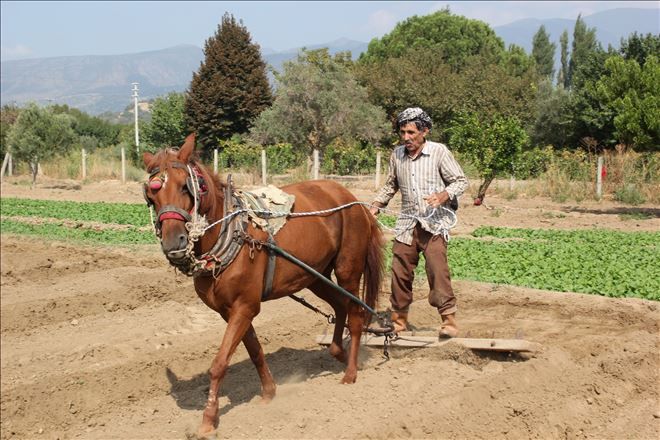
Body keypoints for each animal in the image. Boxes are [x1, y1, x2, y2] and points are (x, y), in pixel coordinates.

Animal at [142, 134, 384, 436]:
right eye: (151, 196)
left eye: (186, 187)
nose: (174, 244)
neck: (230, 233)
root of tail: (353, 200)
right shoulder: (232, 311)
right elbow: (255, 351)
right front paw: (269, 391)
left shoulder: (245, 306)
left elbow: (219, 364)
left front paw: (208, 419)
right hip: (314, 275)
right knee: (339, 306)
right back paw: (338, 351)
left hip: (347, 270)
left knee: (356, 314)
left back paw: (350, 372)